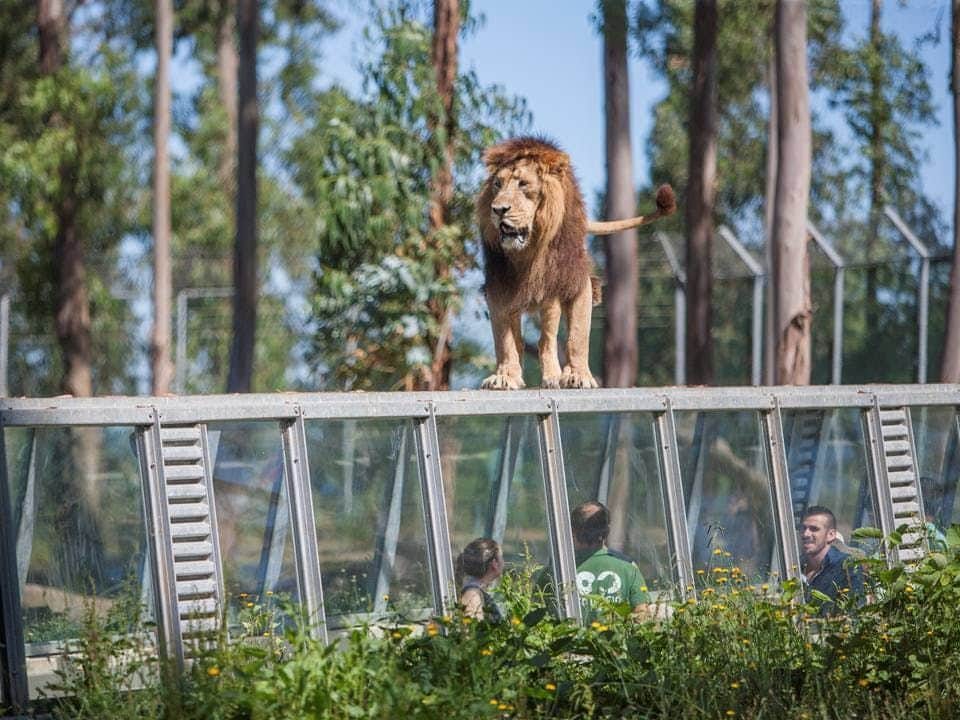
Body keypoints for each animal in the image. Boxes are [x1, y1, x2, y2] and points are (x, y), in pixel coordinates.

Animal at [476, 136, 676, 390]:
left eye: (523, 184)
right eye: (497, 185)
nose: (498, 209)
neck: (530, 250)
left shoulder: (575, 281)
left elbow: (578, 336)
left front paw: (578, 375)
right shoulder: (499, 286)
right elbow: (505, 341)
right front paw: (505, 376)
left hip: (550, 300)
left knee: (546, 340)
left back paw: (552, 377)